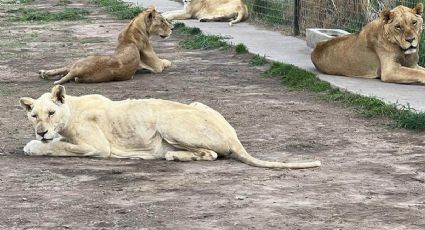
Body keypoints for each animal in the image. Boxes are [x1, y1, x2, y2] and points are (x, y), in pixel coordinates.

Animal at [19, 86, 318, 169]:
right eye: (33, 116)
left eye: (51, 113)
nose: (40, 131)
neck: (71, 109)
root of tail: (234, 138)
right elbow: (58, 144)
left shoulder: (97, 147)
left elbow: (59, 147)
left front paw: (34, 145)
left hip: (166, 120)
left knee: (211, 154)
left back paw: (171, 155)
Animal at [39, 6, 171, 85]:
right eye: (162, 21)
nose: (172, 29)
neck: (131, 30)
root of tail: (78, 71)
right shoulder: (156, 65)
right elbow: (164, 62)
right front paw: (168, 62)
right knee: (65, 69)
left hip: (78, 65)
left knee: (65, 70)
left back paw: (44, 73)